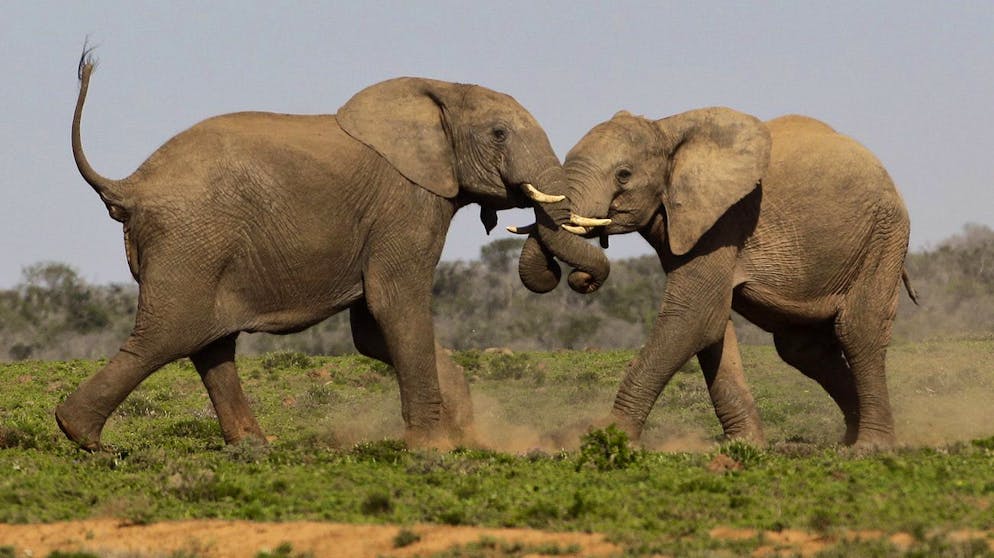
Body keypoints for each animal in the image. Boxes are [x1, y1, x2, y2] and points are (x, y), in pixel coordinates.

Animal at [520, 108, 916, 450]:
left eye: (624, 175)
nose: (579, 278)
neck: (666, 129)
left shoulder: (724, 220)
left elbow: (692, 318)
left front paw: (608, 438)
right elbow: (711, 327)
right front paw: (746, 445)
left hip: (883, 235)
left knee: (858, 330)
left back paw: (869, 447)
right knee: (802, 347)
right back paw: (849, 437)